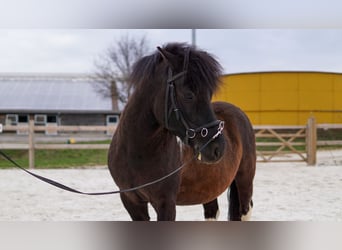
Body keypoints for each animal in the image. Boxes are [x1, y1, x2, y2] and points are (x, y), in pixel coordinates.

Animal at [108, 43, 255, 221]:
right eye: (188, 95)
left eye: (209, 94)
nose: (218, 148)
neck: (136, 153)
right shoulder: (131, 201)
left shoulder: (166, 203)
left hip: (245, 179)